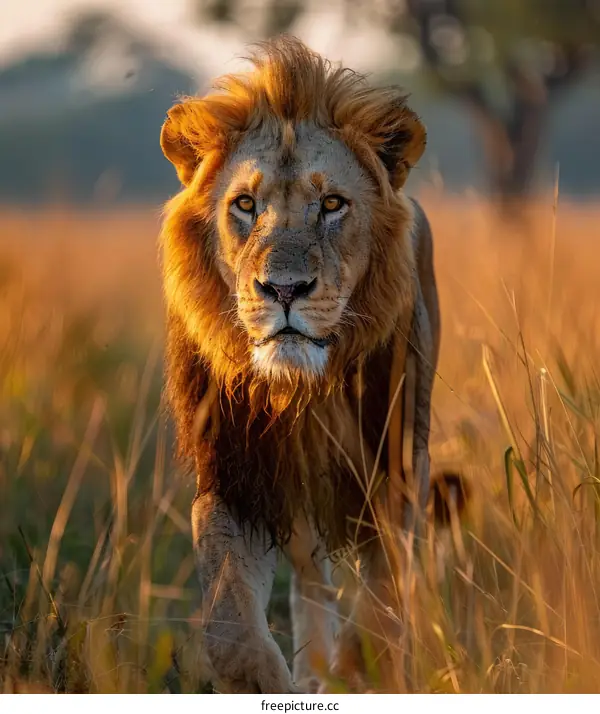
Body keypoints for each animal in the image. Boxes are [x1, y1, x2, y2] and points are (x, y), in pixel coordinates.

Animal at [159, 36, 463, 693]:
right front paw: (283, 684)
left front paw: (359, 675)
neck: (300, 388)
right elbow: (230, 628)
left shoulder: (397, 467)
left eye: (332, 204)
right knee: (311, 582)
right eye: (245, 204)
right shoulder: (236, 479)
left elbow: (381, 605)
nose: (285, 289)